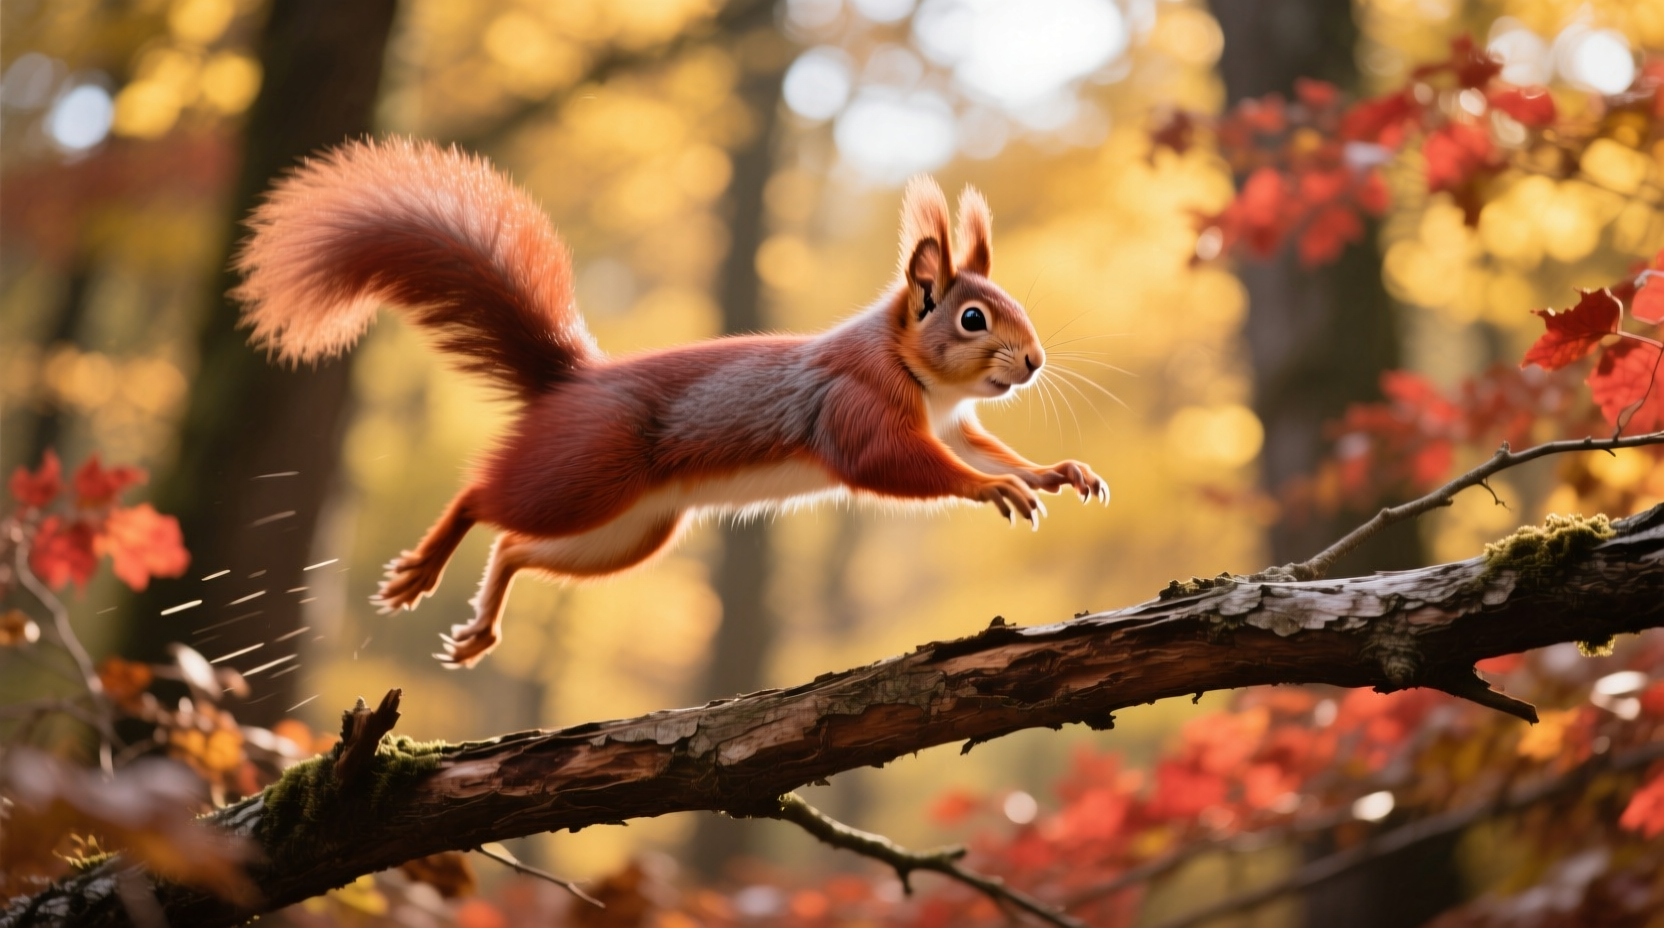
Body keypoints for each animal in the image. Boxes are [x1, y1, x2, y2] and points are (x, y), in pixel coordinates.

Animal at [233, 137, 1108, 668]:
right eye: (972, 318)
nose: (1034, 361)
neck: (918, 376)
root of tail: (570, 381)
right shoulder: (854, 406)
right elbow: (898, 464)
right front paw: (996, 488)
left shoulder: (951, 422)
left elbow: (978, 447)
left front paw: (1055, 471)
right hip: (583, 476)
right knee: (482, 498)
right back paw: (421, 567)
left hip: (628, 532)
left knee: (514, 547)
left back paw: (482, 625)